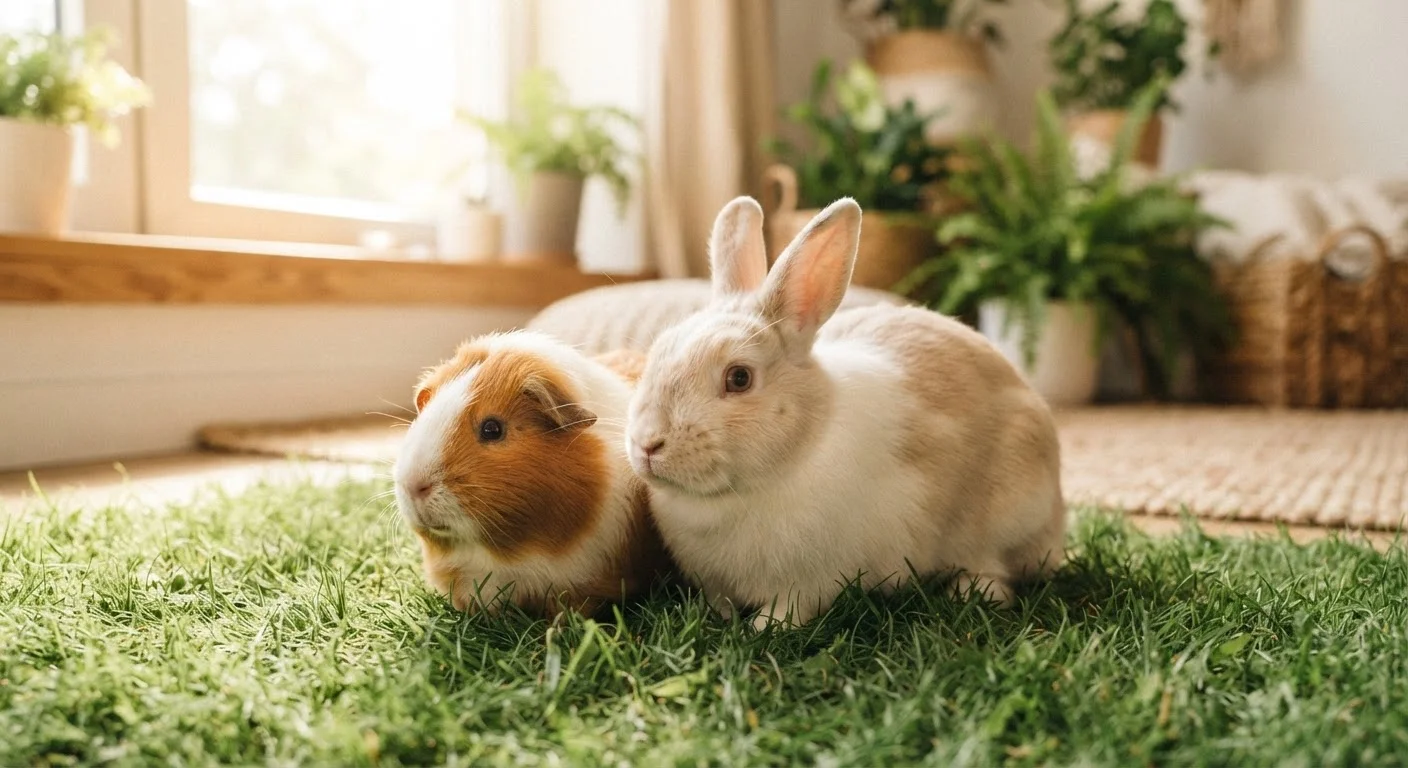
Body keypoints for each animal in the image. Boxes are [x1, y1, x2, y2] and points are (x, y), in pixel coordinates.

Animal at [624, 197, 1065, 628]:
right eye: (658, 350)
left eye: (739, 378)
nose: (647, 443)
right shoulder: (717, 581)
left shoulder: (810, 581)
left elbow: (790, 608)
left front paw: (764, 628)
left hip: (1014, 510)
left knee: (998, 567)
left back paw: (971, 592)